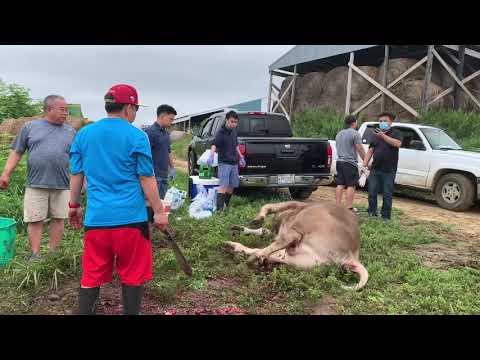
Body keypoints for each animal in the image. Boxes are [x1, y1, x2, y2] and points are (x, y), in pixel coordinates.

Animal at [225, 201, 368, 292]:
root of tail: (352, 257)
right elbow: (264, 229)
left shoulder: (294, 205)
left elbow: (269, 207)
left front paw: (257, 220)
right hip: (302, 261)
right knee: (273, 252)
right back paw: (237, 249)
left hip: (305, 223)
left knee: (288, 238)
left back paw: (250, 257)